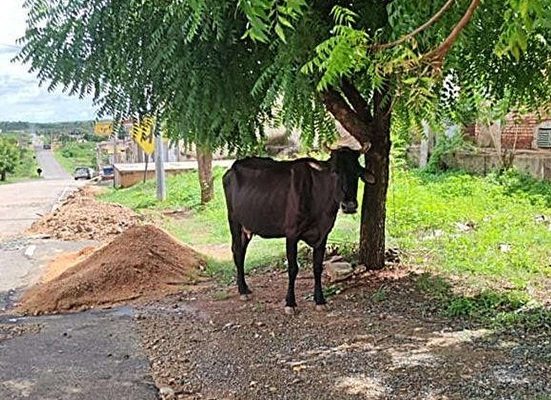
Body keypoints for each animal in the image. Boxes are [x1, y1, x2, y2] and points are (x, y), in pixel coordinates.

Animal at [223, 148, 376, 314]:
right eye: (335, 171)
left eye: (357, 173)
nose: (349, 205)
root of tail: (232, 168)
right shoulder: (291, 233)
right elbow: (293, 268)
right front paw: (290, 303)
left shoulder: (323, 234)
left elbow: (317, 267)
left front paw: (320, 300)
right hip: (234, 220)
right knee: (238, 251)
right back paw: (242, 291)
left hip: (247, 227)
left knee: (241, 251)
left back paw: (245, 288)